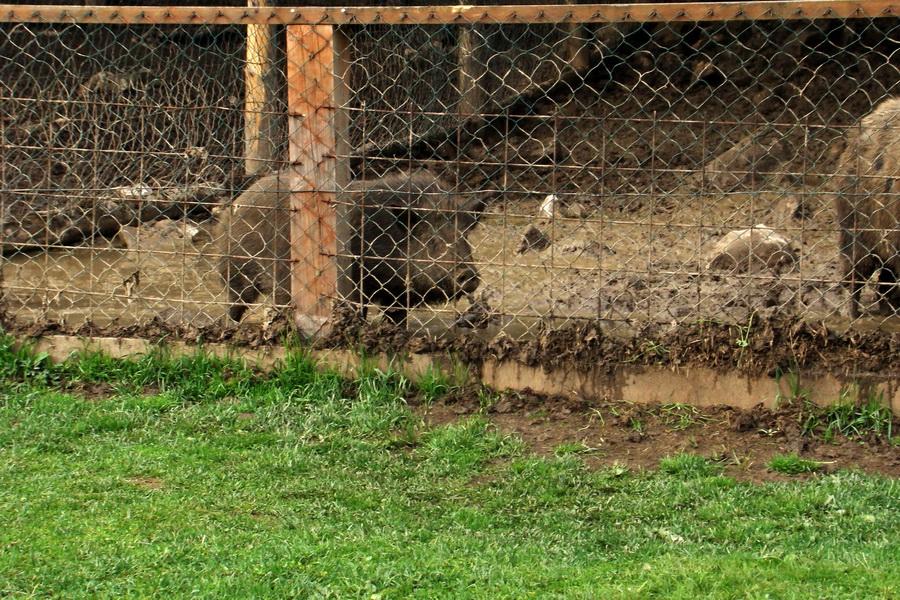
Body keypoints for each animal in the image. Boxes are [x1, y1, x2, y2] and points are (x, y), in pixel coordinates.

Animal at [219, 170, 482, 324]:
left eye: (465, 237)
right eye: (432, 240)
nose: (469, 274)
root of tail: (238, 202)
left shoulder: (396, 295)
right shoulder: (356, 284)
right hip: (237, 270)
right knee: (235, 302)